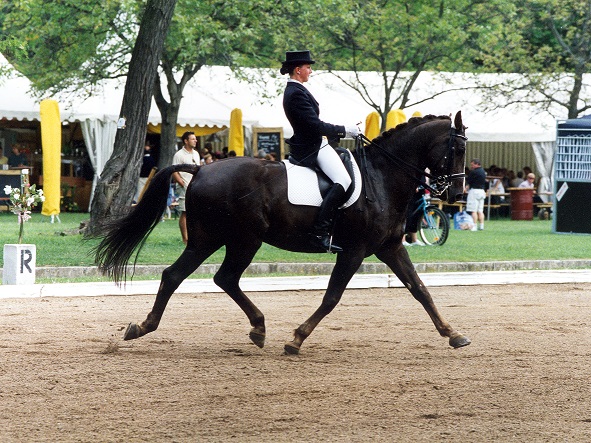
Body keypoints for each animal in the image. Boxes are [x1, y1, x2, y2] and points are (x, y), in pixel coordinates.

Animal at [92, 112, 472, 358]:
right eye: (457, 150)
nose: (457, 194)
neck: (382, 177)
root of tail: (200, 169)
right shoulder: (354, 250)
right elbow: (331, 297)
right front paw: (296, 340)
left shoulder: (390, 247)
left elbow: (420, 290)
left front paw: (454, 335)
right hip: (242, 239)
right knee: (218, 277)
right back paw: (252, 329)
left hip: (212, 238)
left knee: (181, 275)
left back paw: (148, 327)